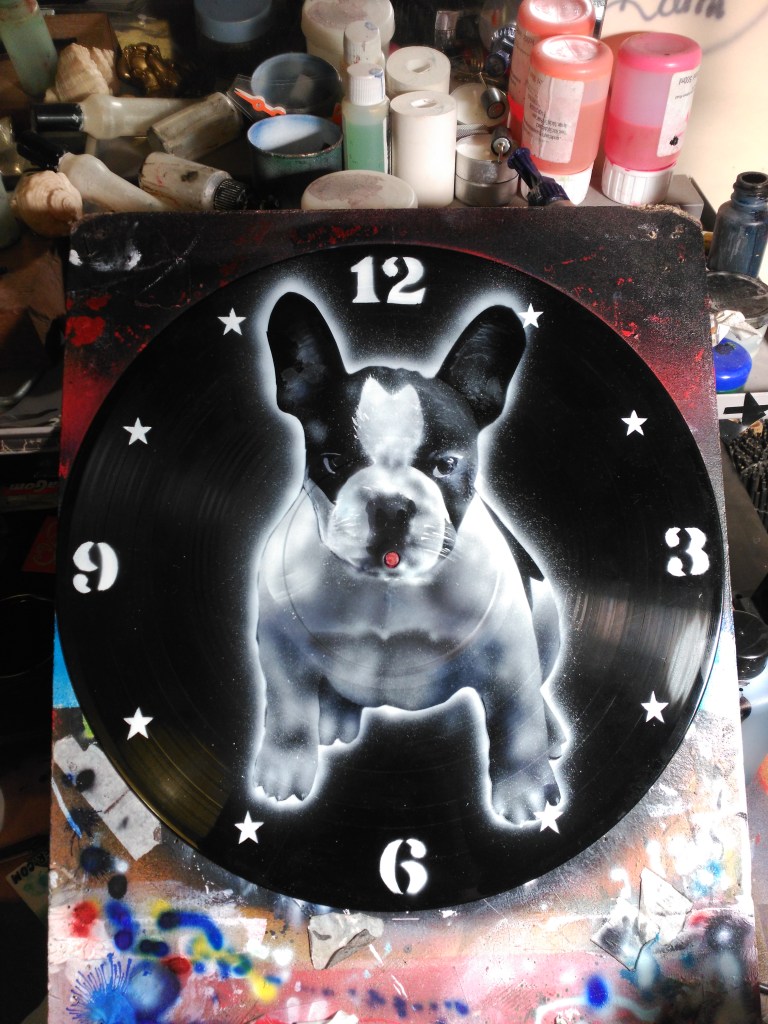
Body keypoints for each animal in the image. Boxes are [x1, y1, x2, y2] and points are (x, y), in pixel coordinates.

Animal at [252, 293, 565, 825]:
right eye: (333, 462)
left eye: (446, 466)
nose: (391, 505)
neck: (387, 588)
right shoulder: (280, 644)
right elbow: (289, 712)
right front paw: (283, 768)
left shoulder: (508, 657)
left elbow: (517, 729)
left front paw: (526, 792)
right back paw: (335, 713)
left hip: (544, 616)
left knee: (535, 692)